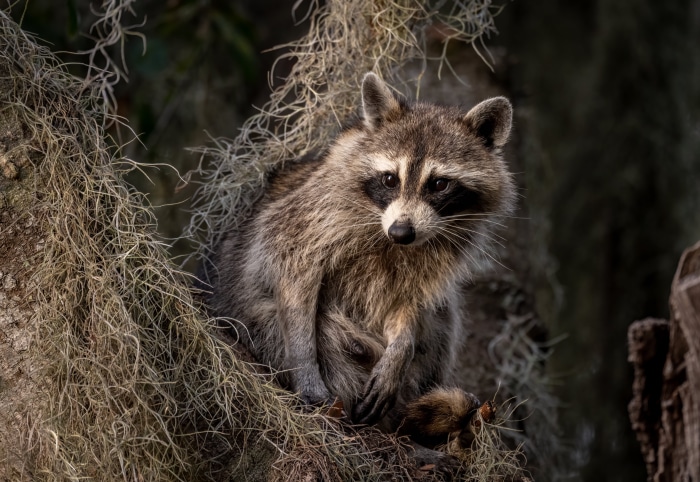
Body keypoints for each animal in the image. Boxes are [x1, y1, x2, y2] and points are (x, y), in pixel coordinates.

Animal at [208, 73, 514, 440]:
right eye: (389, 179)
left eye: (439, 184)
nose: (401, 232)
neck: (390, 238)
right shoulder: (308, 219)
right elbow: (294, 279)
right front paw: (304, 367)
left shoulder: (430, 259)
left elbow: (409, 303)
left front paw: (400, 350)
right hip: (256, 320)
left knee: (443, 318)